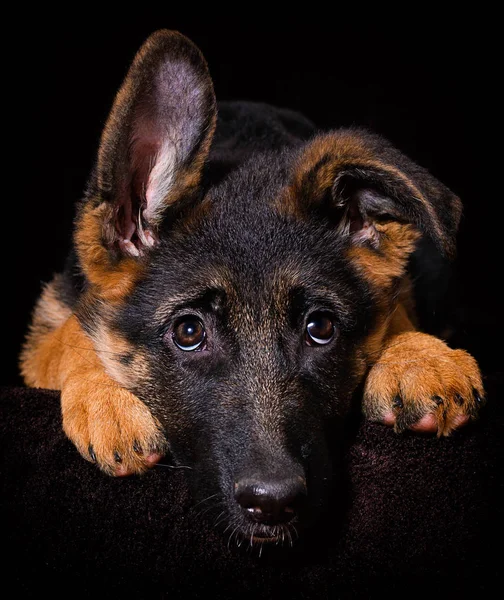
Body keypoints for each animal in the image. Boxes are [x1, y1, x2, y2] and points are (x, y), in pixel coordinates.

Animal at [20, 29, 484, 544]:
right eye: (188, 332)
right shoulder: (44, 329)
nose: (273, 504)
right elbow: (70, 331)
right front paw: (106, 399)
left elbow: (393, 301)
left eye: (320, 328)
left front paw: (416, 355)